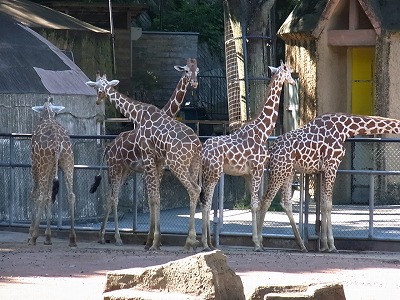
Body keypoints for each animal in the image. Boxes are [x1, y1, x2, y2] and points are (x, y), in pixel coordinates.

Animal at [28, 97, 76, 247]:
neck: (48, 114)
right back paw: (72, 239)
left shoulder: (34, 163)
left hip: (43, 165)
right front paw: (48, 237)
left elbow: (35, 193)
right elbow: (50, 197)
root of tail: (57, 144)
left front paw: (31, 235)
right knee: (70, 195)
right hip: (68, 162)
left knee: (41, 195)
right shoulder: (51, 168)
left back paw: (33, 237)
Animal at [86, 71, 202, 251]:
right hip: (115, 168)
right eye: (96, 86)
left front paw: (153, 239)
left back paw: (105, 236)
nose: (98, 100)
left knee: (110, 196)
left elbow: (153, 198)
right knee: (113, 197)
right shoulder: (151, 166)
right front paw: (152, 239)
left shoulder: (154, 167)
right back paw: (112, 237)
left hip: (123, 170)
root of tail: (108, 146)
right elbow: (153, 198)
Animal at [202, 61, 296, 251]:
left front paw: (259, 241)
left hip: (208, 174)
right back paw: (205, 243)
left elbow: (257, 203)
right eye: (288, 72)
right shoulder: (258, 169)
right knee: (206, 204)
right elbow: (254, 205)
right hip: (214, 174)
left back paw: (205, 242)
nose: (293, 81)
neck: (263, 130)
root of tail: (203, 151)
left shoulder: (247, 173)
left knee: (203, 203)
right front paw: (257, 243)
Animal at [258, 113, 400, 252]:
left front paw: (324, 245)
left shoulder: (323, 170)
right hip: (279, 171)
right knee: (265, 200)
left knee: (285, 202)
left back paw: (301, 245)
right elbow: (328, 204)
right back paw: (258, 243)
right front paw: (332, 245)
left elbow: (323, 204)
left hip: (288, 171)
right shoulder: (332, 165)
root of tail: (271, 151)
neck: (346, 128)